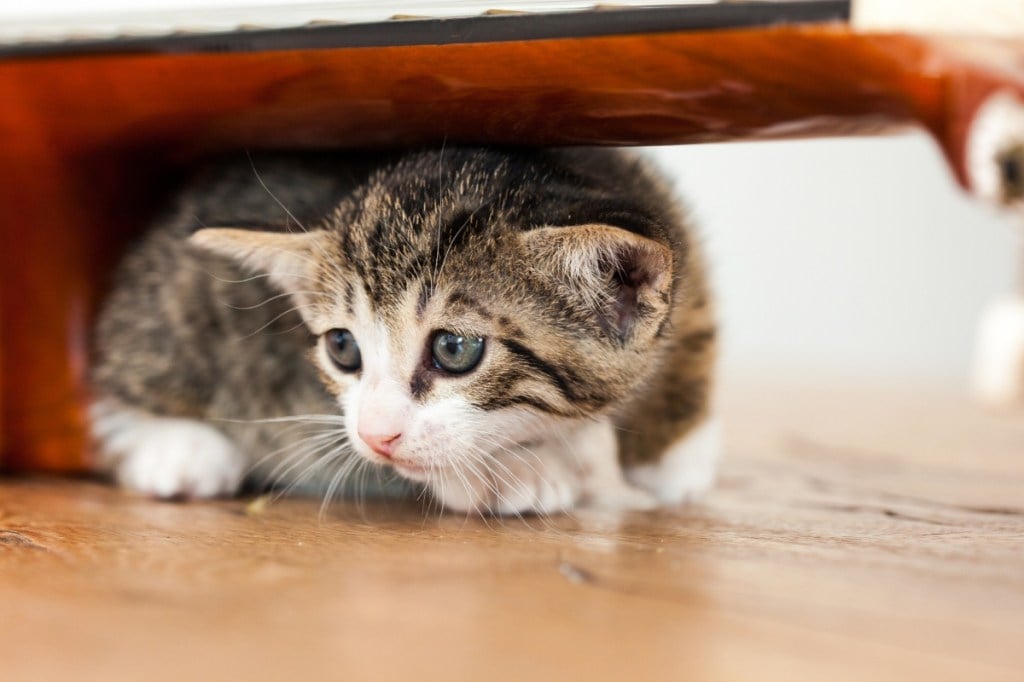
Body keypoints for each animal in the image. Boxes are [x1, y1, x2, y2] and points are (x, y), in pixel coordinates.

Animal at [90, 147, 720, 509]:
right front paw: (513, 472)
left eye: (455, 348)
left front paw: (671, 460)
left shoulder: (675, 232)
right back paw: (180, 451)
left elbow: (693, 333)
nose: (376, 435)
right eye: (343, 347)